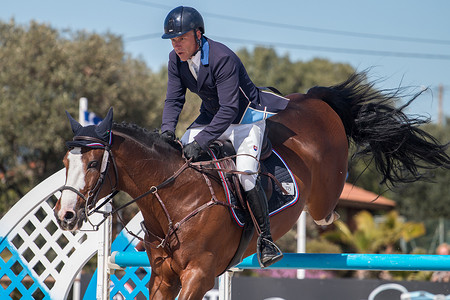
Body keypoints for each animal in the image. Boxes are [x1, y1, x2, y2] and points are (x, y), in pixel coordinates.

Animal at [54, 73, 448, 300]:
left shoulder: (199, 275)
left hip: (325, 186)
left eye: (93, 164)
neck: (176, 198)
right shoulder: (162, 278)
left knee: (325, 208)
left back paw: (324, 223)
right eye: (65, 164)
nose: (65, 216)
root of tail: (314, 100)